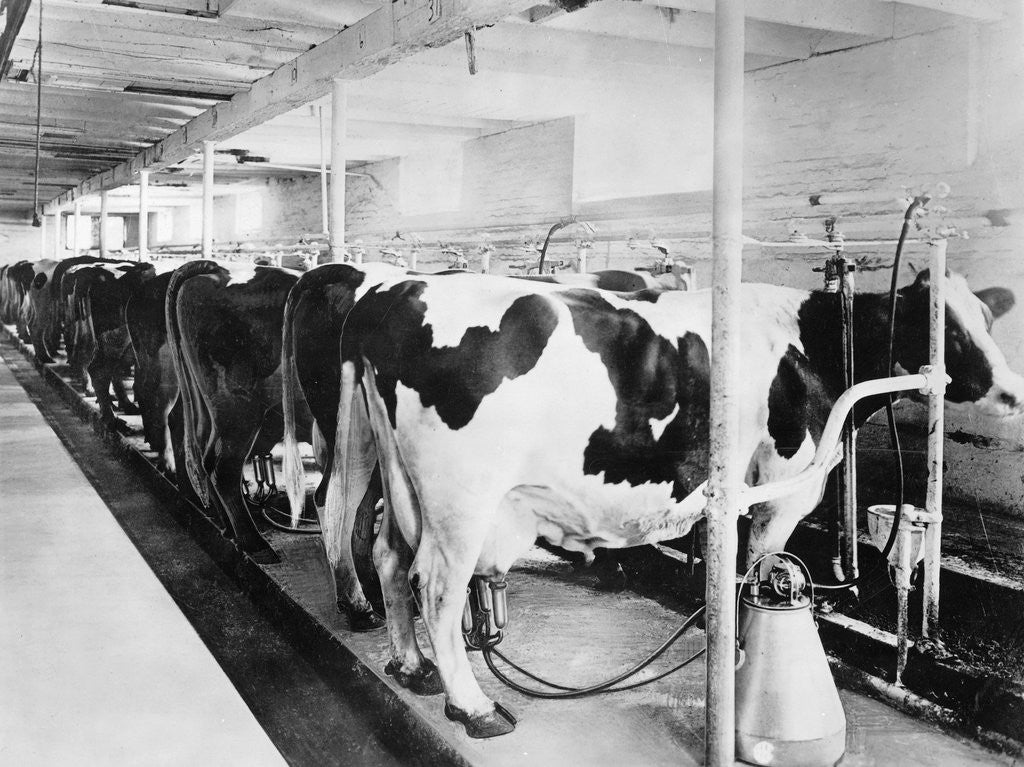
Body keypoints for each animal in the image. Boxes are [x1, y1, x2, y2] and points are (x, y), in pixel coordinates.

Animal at [165, 259, 311, 561]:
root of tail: (219, 269)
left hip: (206, 404)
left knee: (195, 445)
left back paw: (225, 526)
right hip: (238, 410)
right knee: (222, 467)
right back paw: (255, 544)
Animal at [321, 268, 1024, 737]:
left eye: (986, 319)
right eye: (940, 328)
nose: (1011, 393)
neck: (813, 343)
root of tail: (391, 294)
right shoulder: (783, 489)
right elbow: (757, 569)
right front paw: (740, 660)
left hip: (397, 477)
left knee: (387, 556)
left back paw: (410, 665)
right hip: (461, 501)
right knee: (435, 587)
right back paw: (474, 707)